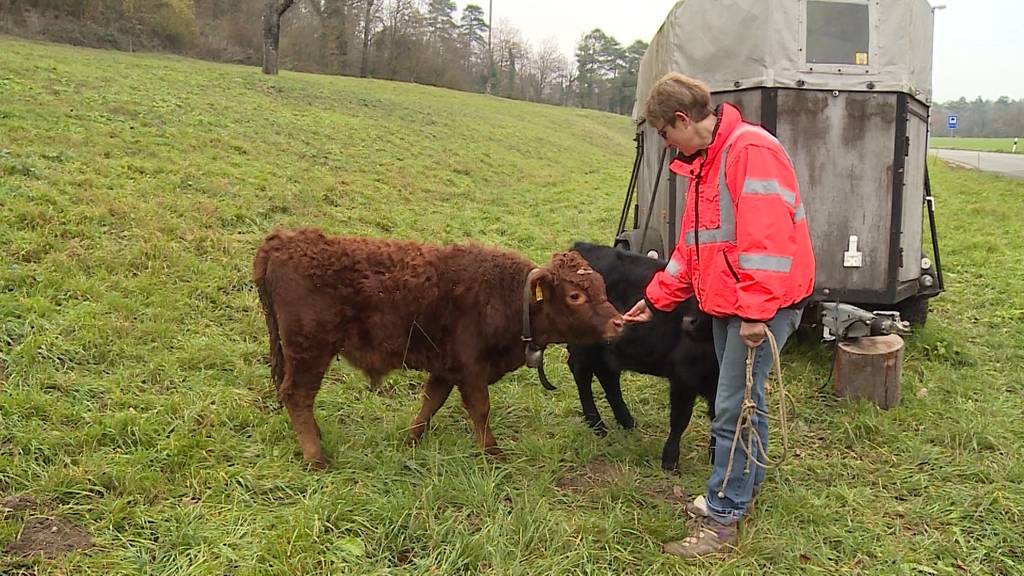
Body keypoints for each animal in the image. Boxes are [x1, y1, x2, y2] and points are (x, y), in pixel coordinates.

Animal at [256, 226, 622, 463]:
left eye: (602, 286)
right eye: (575, 295)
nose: (618, 322)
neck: (506, 297)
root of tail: (283, 240)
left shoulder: (447, 368)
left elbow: (431, 403)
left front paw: (410, 440)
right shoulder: (471, 369)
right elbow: (481, 409)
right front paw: (494, 454)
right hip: (309, 351)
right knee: (297, 396)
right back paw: (316, 456)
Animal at [565, 241, 716, 471]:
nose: (690, 322)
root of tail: (580, 248)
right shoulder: (682, 376)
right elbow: (680, 419)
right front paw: (670, 461)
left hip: (609, 350)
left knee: (607, 377)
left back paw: (627, 421)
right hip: (584, 347)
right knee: (582, 375)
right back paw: (597, 424)